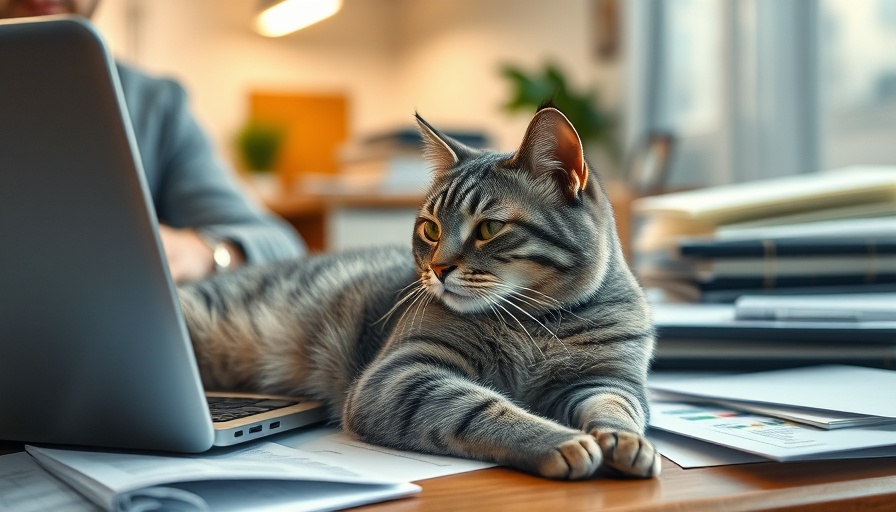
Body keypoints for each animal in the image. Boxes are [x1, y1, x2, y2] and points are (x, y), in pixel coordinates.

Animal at [180, 108, 656, 480]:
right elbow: (484, 408)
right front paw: (560, 440)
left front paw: (625, 441)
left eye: (489, 228)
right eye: (430, 228)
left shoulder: (607, 379)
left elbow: (617, 408)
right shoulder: (400, 373)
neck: (535, 324)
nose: (438, 269)